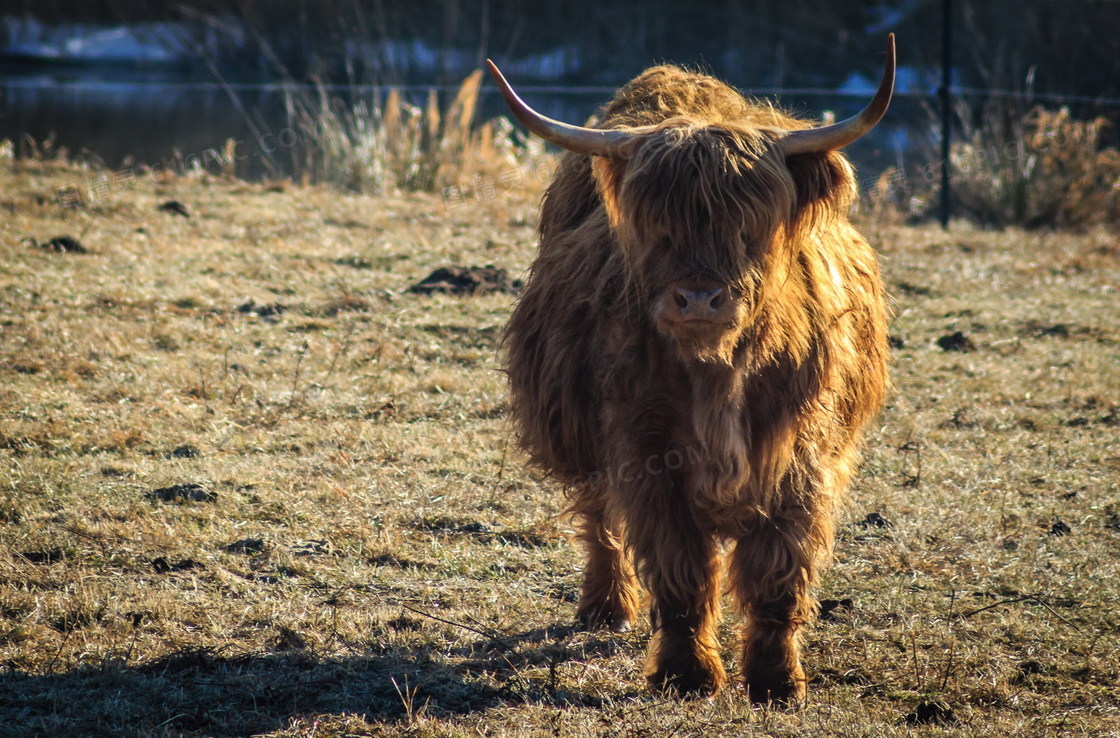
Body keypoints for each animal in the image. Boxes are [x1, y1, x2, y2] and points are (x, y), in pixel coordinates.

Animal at [488, 37, 891, 707]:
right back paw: (606, 605)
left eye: (749, 226)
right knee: (599, 519)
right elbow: (682, 570)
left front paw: (777, 680)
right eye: (659, 226)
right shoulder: (647, 453)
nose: (700, 299)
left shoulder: (800, 453)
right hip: (581, 433)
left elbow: (779, 570)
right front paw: (687, 673)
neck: (718, 375)